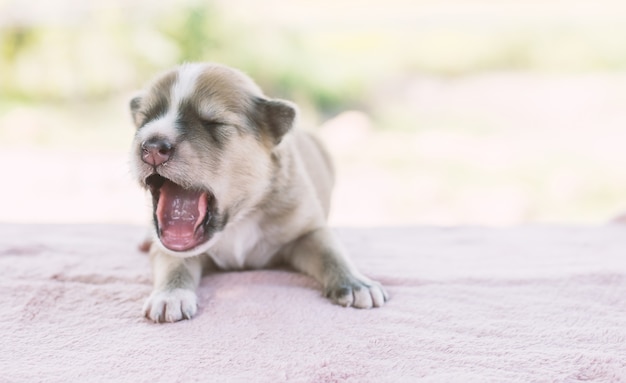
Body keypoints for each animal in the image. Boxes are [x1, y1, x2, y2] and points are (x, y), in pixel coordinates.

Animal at [128, 63, 386, 324]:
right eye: (144, 121)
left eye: (213, 123)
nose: (152, 148)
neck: (239, 218)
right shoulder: (168, 247)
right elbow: (174, 262)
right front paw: (170, 295)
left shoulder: (308, 231)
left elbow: (331, 253)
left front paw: (356, 284)